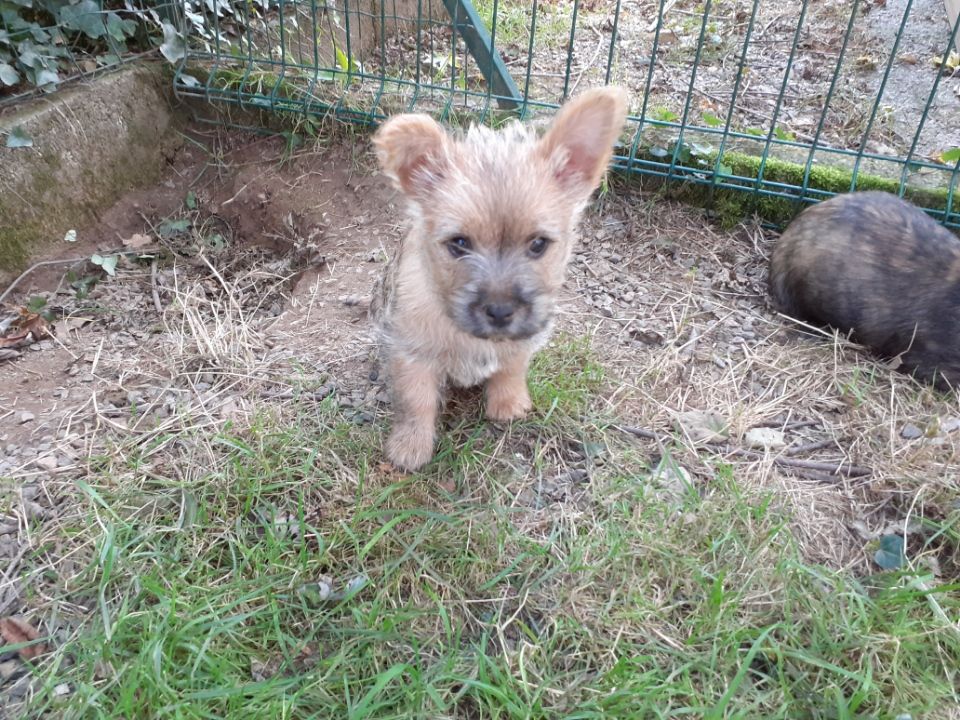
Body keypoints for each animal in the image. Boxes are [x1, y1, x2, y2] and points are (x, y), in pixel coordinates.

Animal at [370, 88, 632, 472]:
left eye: (538, 244)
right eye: (459, 243)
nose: (500, 311)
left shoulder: (523, 340)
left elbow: (512, 367)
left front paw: (509, 403)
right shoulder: (411, 353)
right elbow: (416, 400)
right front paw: (410, 446)